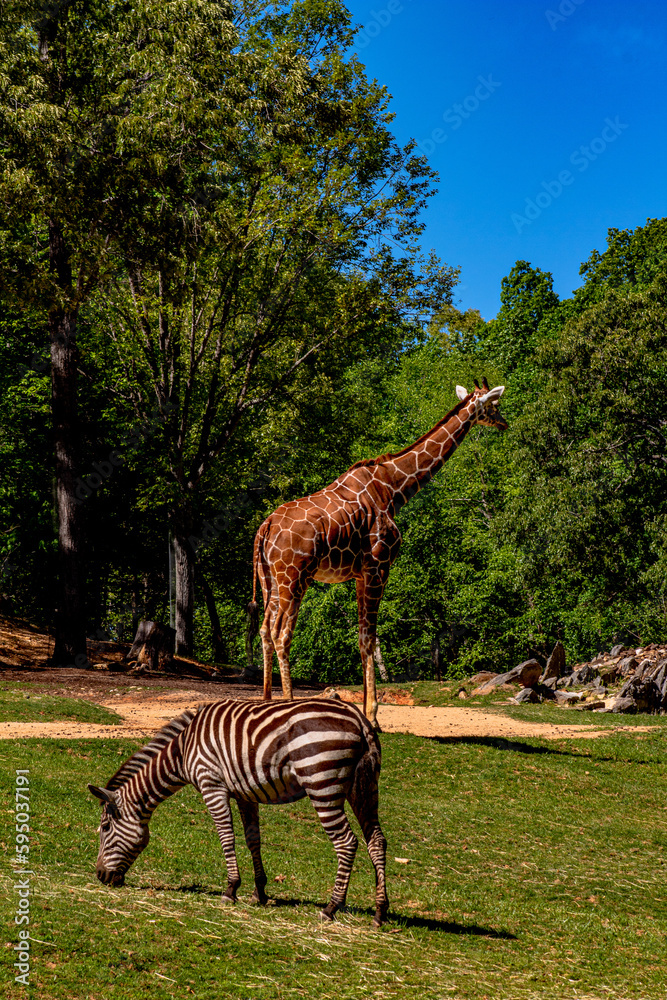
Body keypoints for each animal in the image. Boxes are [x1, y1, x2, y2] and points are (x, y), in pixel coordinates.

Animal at [88, 698, 389, 926]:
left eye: (105, 828)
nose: (101, 876)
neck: (183, 751)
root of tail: (358, 717)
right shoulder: (247, 793)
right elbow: (252, 839)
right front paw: (259, 892)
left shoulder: (212, 785)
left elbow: (226, 837)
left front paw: (231, 889)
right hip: (364, 786)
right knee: (376, 841)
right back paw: (380, 911)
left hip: (322, 784)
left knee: (346, 842)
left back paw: (331, 907)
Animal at [248, 378, 507, 726]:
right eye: (494, 405)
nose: (504, 423)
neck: (394, 488)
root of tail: (265, 527)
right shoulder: (379, 566)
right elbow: (369, 638)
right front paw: (372, 717)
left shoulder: (360, 573)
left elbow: (362, 638)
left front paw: (368, 712)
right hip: (294, 576)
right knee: (280, 633)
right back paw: (287, 706)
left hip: (269, 580)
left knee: (265, 630)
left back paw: (265, 703)